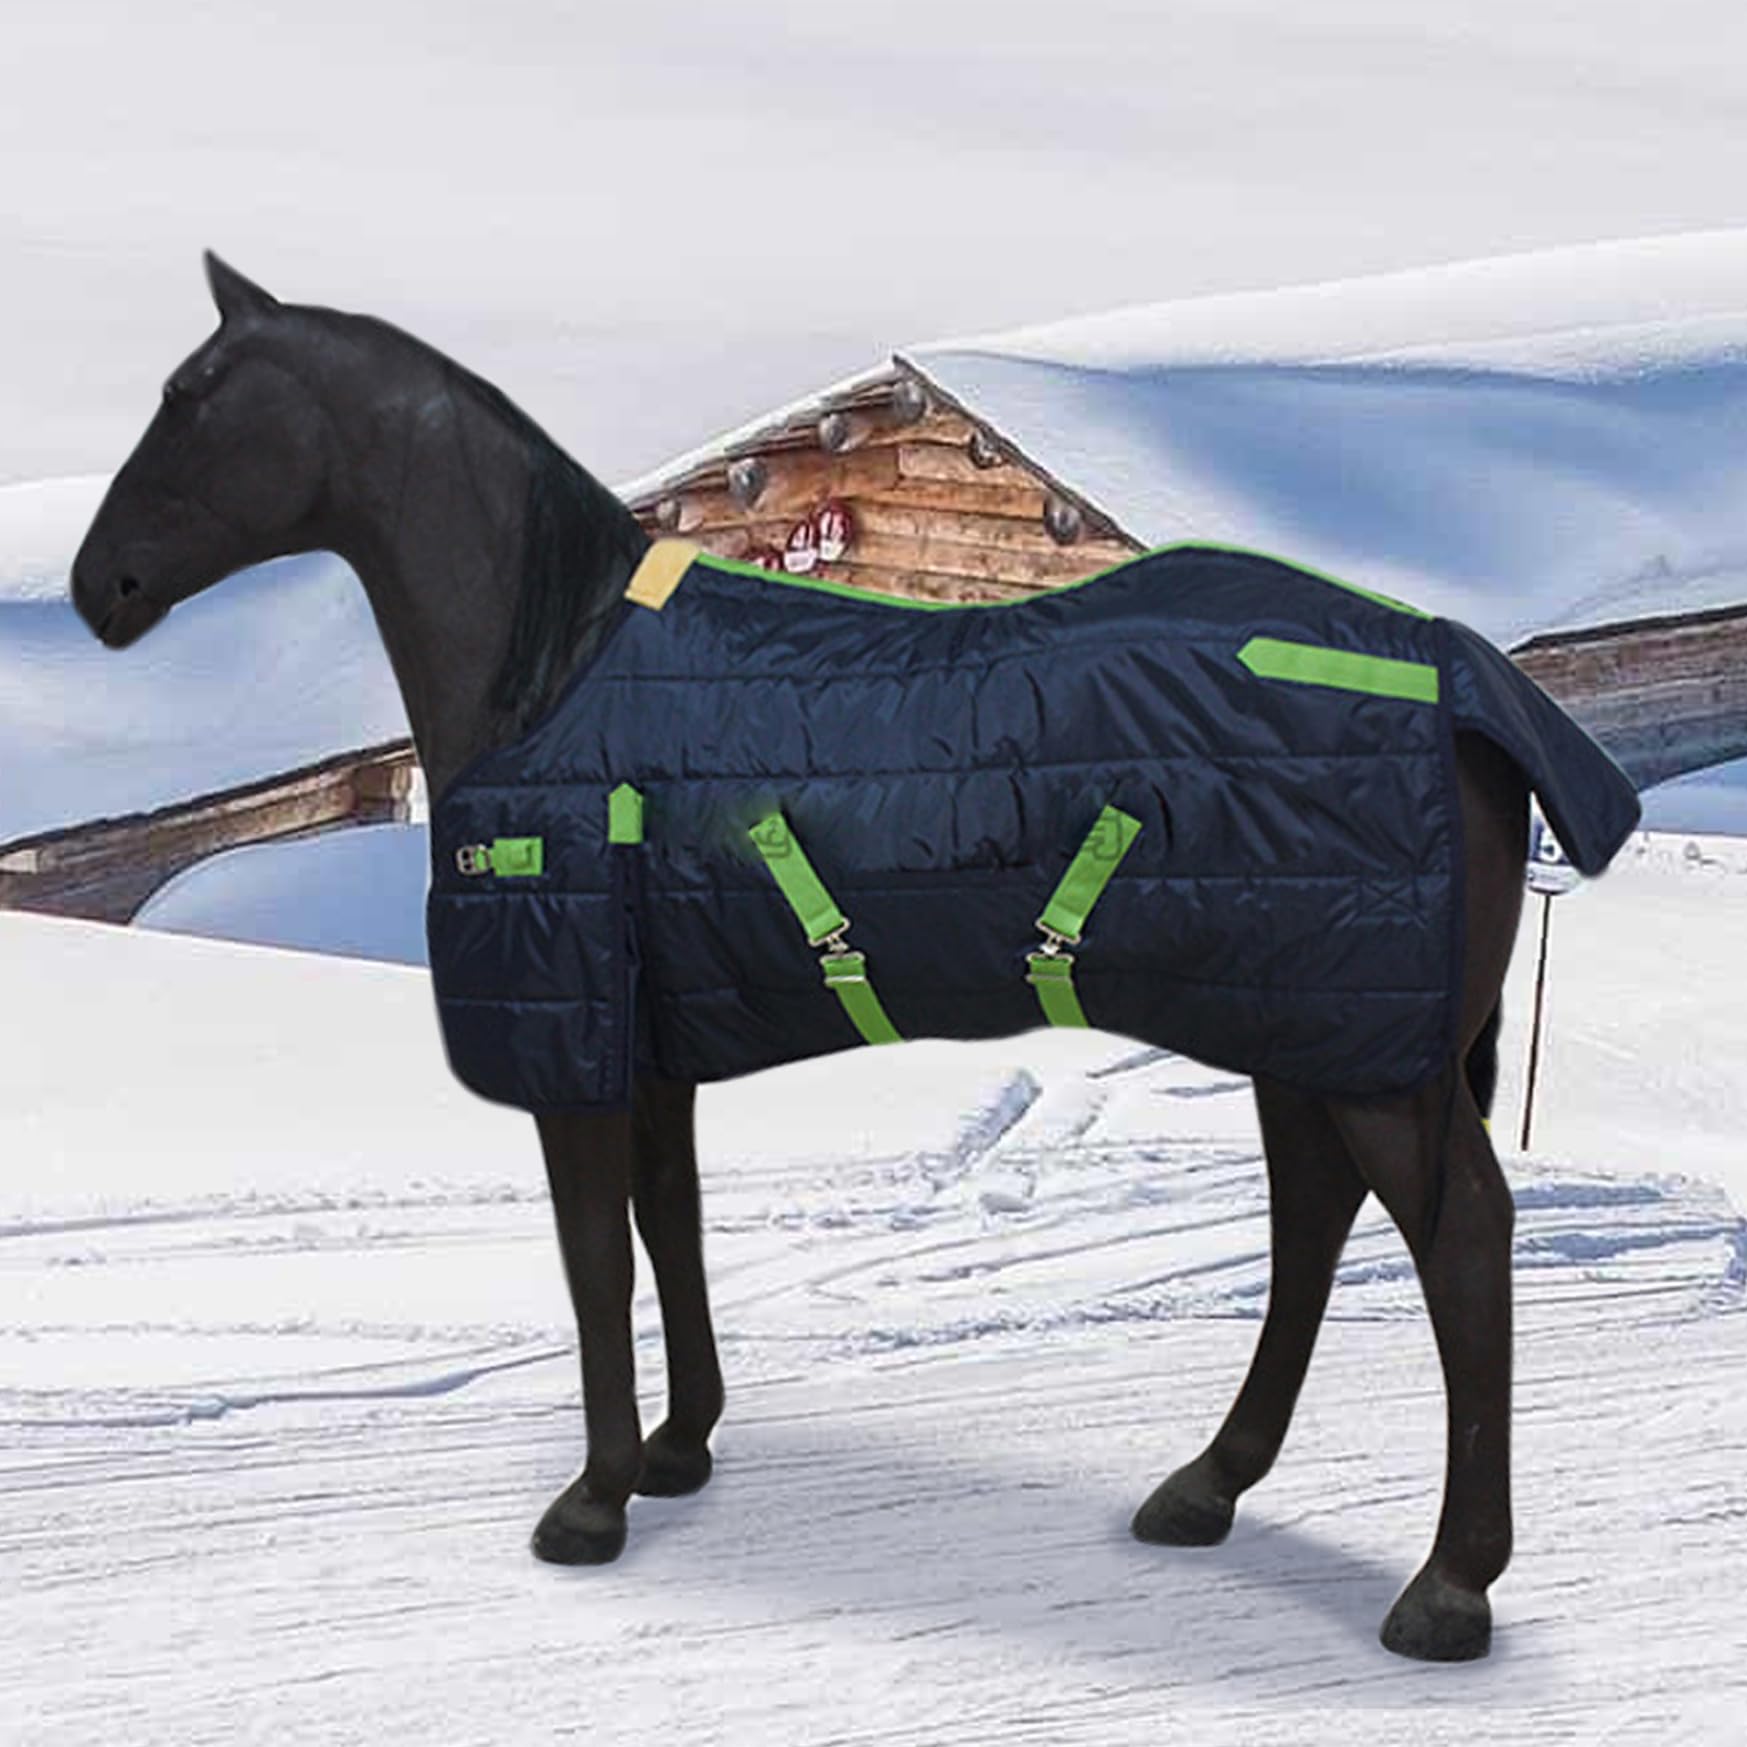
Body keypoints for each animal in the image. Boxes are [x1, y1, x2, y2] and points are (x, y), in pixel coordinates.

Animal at [72, 253, 1534, 1663]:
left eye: (196, 397)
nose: (101, 589)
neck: (554, 670)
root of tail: (1460, 675)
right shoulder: (653, 1050)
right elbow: (670, 1228)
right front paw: (676, 1449)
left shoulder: (576, 1050)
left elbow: (596, 1261)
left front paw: (592, 1500)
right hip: (1305, 1031)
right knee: (1311, 1223)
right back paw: (1205, 1486)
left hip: (1365, 1060)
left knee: (1459, 1236)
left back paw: (1446, 1586)